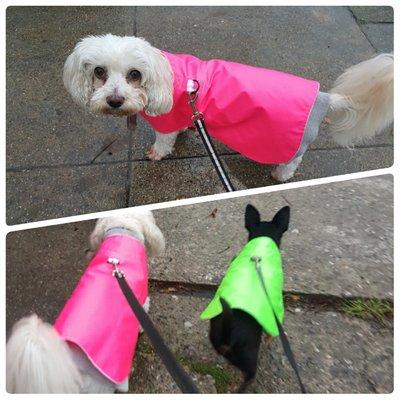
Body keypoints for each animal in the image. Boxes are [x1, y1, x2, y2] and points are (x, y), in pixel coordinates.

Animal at [63, 34, 394, 181]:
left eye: (135, 74)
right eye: (99, 72)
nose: (114, 101)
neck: (170, 76)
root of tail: (324, 97)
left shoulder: (165, 122)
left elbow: (164, 142)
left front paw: (157, 154)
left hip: (289, 143)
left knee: (293, 160)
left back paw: (280, 175)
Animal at [208, 205, 290, 392]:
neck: (261, 245)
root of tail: (229, 335)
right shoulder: (276, 305)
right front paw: (270, 338)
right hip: (250, 358)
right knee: (249, 377)